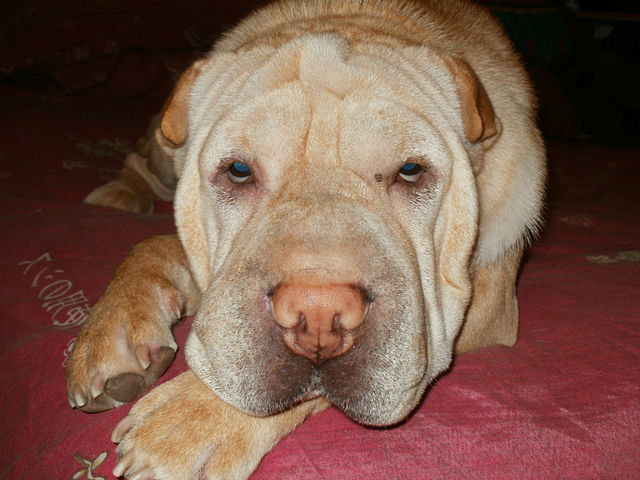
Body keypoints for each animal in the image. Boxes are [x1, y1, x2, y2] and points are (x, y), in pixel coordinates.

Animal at [66, 0, 546, 478]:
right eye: (238, 171)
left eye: (411, 171)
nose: (318, 315)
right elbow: (153, 247)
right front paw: (112, 333)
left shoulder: (489, 313)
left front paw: (189, 421)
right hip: (162, 147)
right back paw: (120, 193)